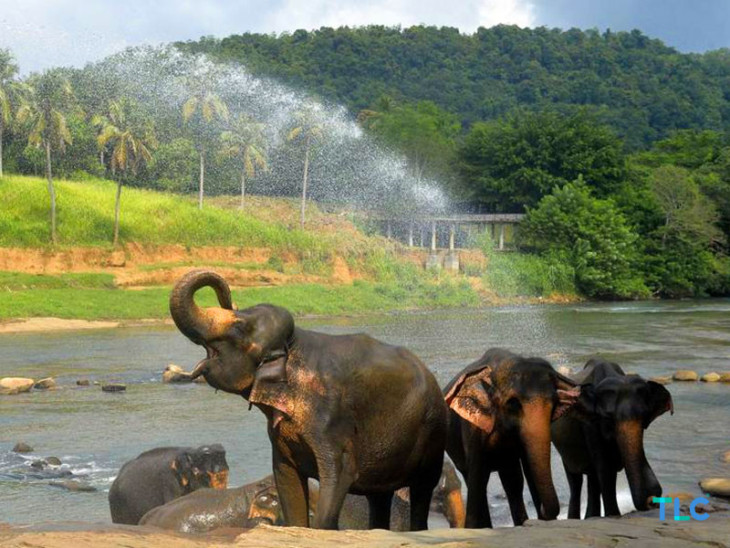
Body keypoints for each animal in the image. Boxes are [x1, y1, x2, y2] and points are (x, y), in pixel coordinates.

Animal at [169, 270, 448, 530]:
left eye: (239, 327)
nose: (229, 299)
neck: (294, 345)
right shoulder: (280, 436)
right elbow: (286, 478)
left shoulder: (332, 420)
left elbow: (340, 473)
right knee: (379, 497)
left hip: (433, 433)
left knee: (422, 488)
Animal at [443, 347, 580, 528]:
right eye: (513, 403)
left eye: (554, 402)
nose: (541, 510)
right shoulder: (472, 429)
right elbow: (477, 478)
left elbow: (526, 471)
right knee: (476, 481)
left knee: (512, 482)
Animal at [551, 358, 673, 518]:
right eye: (608, 419)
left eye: (644, 417)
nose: (652, 500)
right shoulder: (590, 426)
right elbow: (605, 467)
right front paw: (613, 514)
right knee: (575, 480)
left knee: (592, 478)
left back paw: (591, 516)